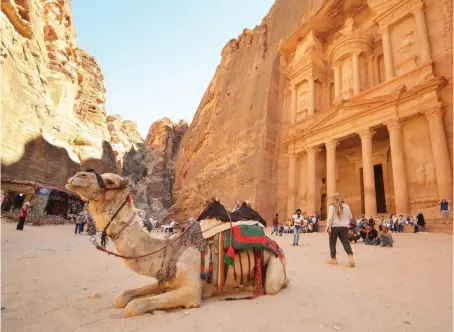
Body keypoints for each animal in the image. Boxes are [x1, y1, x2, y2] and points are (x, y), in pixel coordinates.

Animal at [65, 170, 290, 318]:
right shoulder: (165, 279)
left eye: (110, 181)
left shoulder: (191, 290)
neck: (167, 249)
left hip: (275, 265)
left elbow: (134, 306)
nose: (76, 176)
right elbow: (123, 297)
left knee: (273, 285)